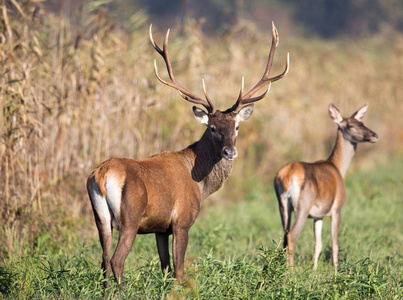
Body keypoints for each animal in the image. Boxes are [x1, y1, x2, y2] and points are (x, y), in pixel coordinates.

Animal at [88, 22, 290, 286]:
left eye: (236, 127)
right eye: (212, 128)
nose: (230, 151)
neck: (201, 186)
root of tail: (102, 175)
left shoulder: (160, 228)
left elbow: (164, 267)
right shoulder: (182, 220)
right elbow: (179, 270)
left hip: (100, 219)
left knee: (103, 260)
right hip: (129, 218)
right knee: (116, 260)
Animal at [274, 102, 378, 270]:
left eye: (362, 122)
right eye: (351, 125)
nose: (374, 135)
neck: (337, 167)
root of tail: (286, 176)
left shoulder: (318, 215)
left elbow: (318, 245)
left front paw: (314, 269)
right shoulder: (337, 209)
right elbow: (334, 244)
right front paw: (336, 270)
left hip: (283, 205)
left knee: (284, 235)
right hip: (303, 205)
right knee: (291, 235)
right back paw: (291, 270)